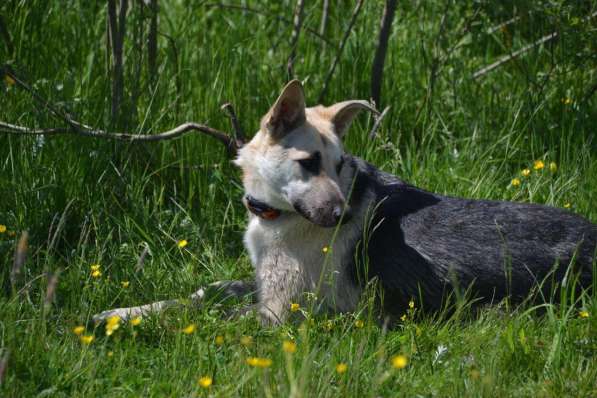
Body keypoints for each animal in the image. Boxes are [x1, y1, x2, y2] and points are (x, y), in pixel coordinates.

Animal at [94, 81, 596, 326]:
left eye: (340, 165)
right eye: (309, 163)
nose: (343, 216)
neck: (275, 218)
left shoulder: (277, 313)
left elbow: (209, 318)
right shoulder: (261, 288)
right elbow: (200, 295)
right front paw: (122, 313)